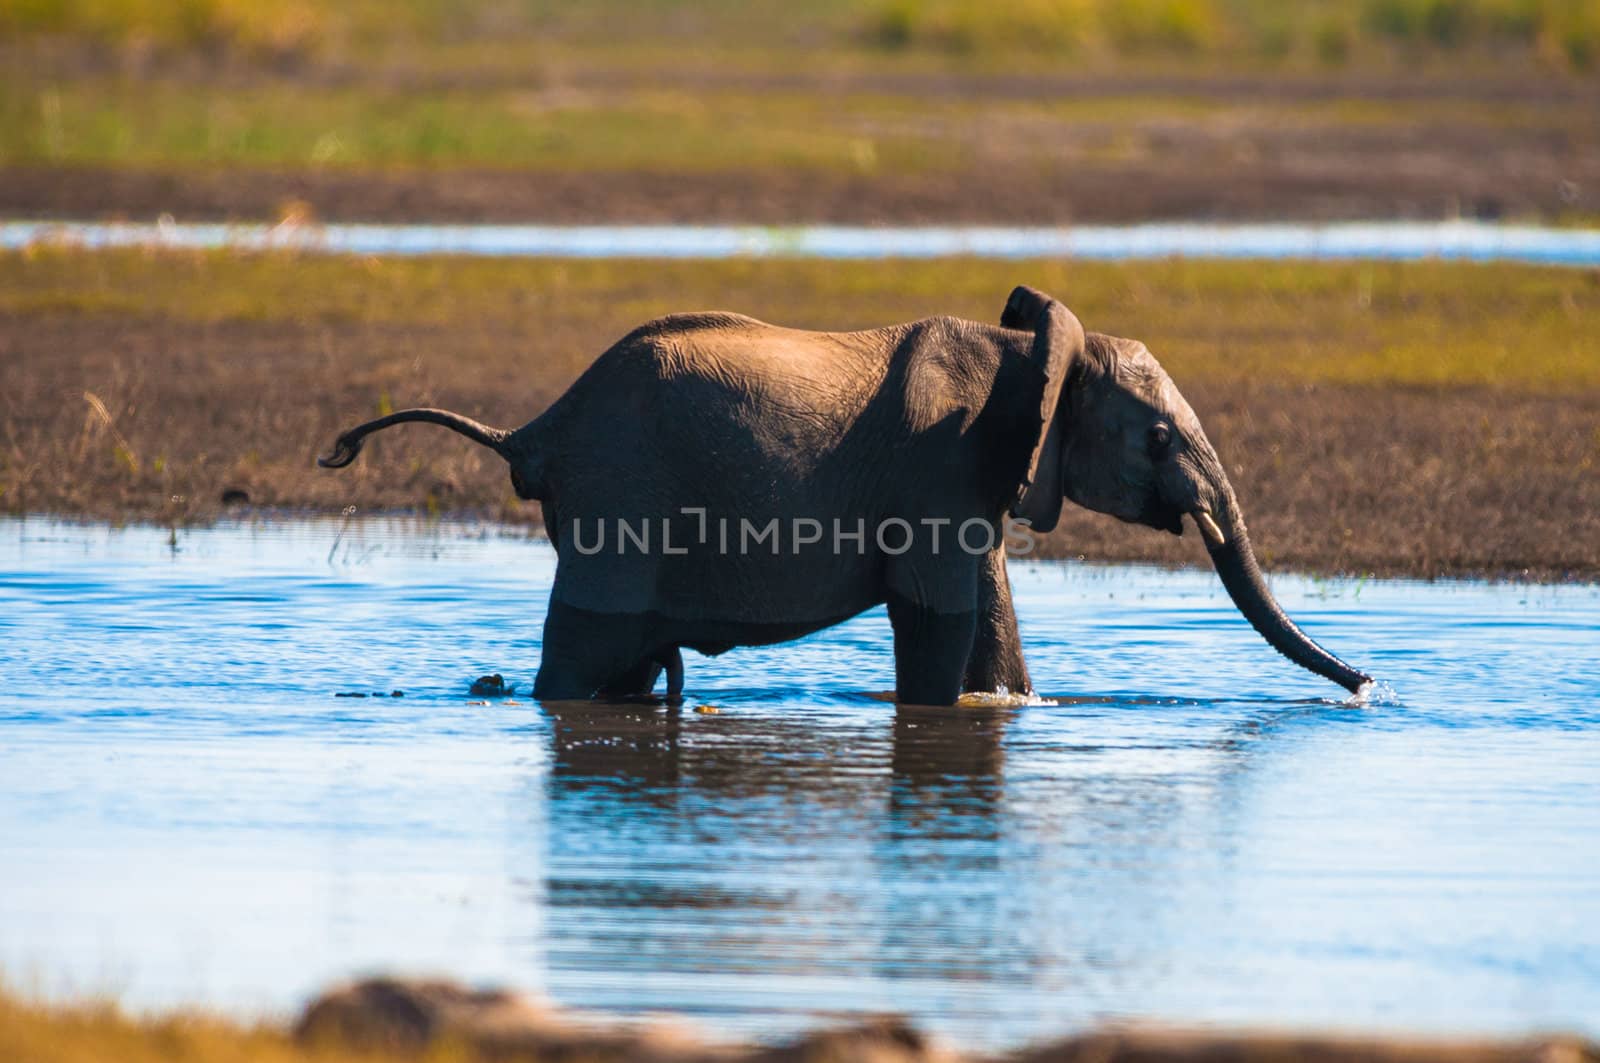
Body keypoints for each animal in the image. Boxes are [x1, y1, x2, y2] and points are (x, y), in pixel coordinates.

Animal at [318, 284, 1369, 704]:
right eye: (1155, 437)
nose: (1367, 686)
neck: (1031, 352)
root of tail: (537, 429)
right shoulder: (940, 468)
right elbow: (938, 620)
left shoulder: (974, 486)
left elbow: (989, 619)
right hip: (621, 504)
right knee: (579, 659)